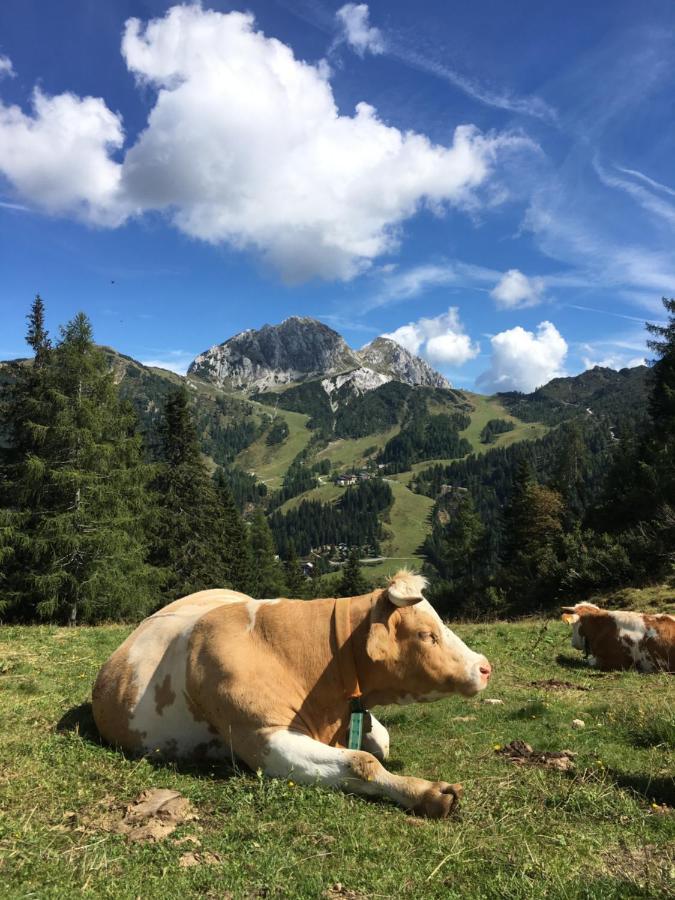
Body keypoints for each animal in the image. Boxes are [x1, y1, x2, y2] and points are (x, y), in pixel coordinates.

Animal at [92, 572, 492, 820]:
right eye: (426, 634)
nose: (484, 666)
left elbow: (378, 742)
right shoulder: (263, 738)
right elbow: (362, 761)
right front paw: (426, 792)